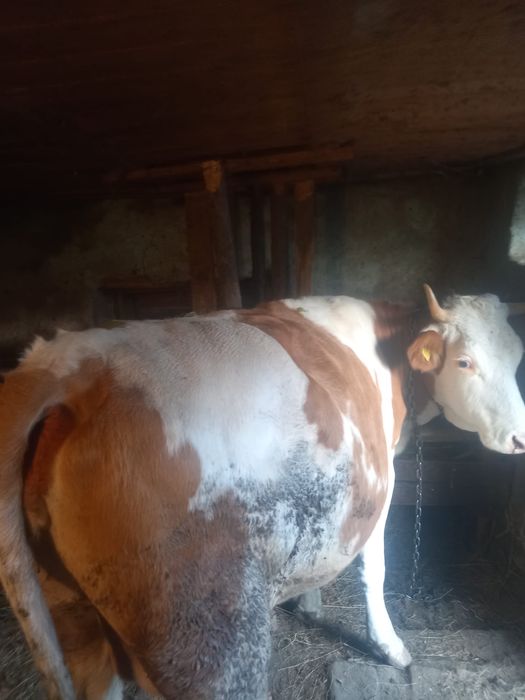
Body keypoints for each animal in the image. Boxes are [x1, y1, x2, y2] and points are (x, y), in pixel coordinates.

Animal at [0, 284, 524, 699]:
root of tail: (70, 365)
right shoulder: (382, 483)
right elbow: (374, 569)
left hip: (70, 611)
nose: (520, 436)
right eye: (465, 362)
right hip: (213, 641)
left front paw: (309, 604)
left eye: (516, 358)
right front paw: (389, 647)